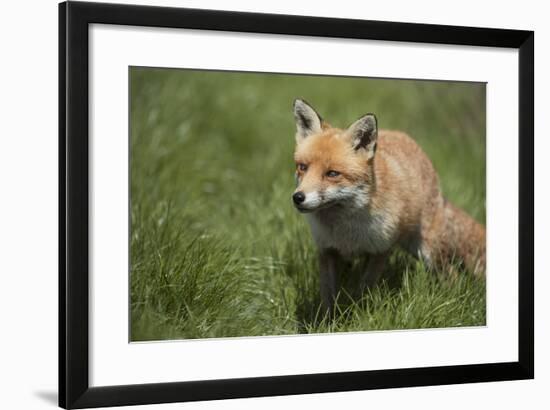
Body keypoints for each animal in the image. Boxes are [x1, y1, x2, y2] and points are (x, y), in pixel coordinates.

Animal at [294, 98, 488, 310]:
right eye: (302, 167)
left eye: (332, 173)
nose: (298, 197)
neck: (346, 230)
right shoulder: (327, 251)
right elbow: (328, 297)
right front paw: (329, 318)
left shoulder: (380, 250)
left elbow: (364, 289)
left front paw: (359, 312)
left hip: (428, 251)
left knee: (452, 276)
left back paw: (451, 301)